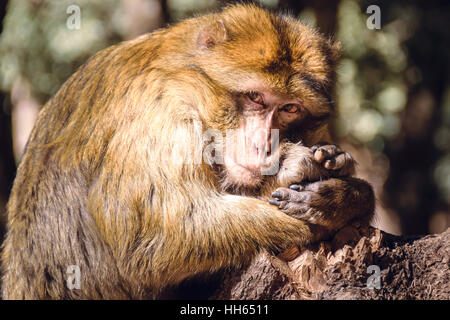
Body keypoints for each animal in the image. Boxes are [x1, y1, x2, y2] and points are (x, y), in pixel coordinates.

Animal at [0, 3, 374, 300]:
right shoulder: (158, 110)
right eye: (255, 97)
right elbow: (160, 236)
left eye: (290, 108)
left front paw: (344, 188)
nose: (264, 144)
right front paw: (334, 195)